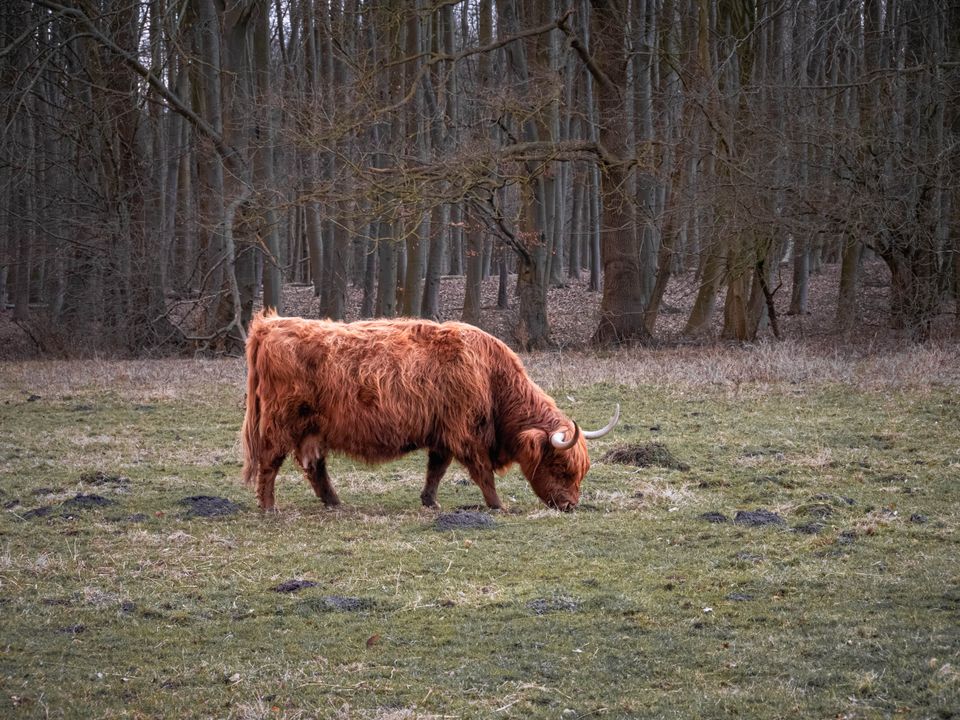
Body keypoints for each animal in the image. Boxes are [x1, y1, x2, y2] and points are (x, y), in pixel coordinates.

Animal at [241, 311, 619, 512]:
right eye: (561, 467)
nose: (571, 505)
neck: (492, 378)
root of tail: (270, 325)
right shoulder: (466, 432)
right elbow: (482, 472)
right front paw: (498, 505)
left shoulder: (442, 433)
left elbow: (436, 470)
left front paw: (429, 502)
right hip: (280, 422)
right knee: (270, 462)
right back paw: (269, 507)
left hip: (312, 429)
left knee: (314, 466)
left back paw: (335, 503)